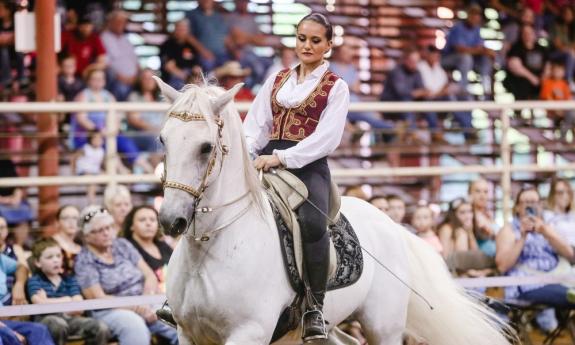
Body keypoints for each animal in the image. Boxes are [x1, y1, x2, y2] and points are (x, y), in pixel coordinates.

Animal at [153, 77, 512, 344]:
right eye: (162, 140)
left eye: (206, 147)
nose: (171, 220)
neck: (213, 248)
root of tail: (393, 225)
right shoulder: (189, 334)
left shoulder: (247, 334)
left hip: (384, 326)